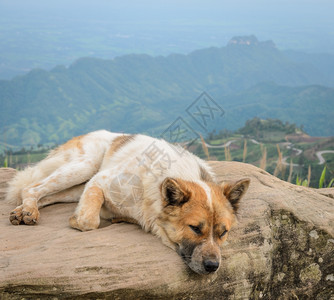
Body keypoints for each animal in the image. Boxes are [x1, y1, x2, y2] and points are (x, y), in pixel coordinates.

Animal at [6, 130, 249, 276]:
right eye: (195, 228)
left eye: (223, 232)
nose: (213, 267)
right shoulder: (100, 180)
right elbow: (88, 221)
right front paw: (79, 219)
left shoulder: (93, 185)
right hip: (84, 167)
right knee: (31, 187)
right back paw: (28, 211)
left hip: (76, 187)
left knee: (40, 193)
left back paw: (24, 211)